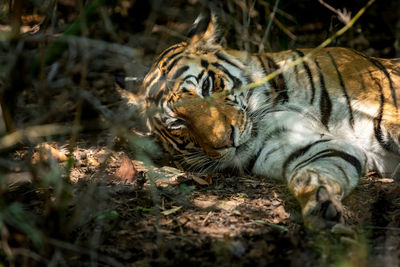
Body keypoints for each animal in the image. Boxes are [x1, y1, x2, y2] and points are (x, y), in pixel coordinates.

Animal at [141, 12, 400, 229]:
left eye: (206, 86)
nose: (226, 140)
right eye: (177, 123)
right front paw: (320, 204)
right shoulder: (311, 146)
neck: (275, 101)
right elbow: (314, 172)